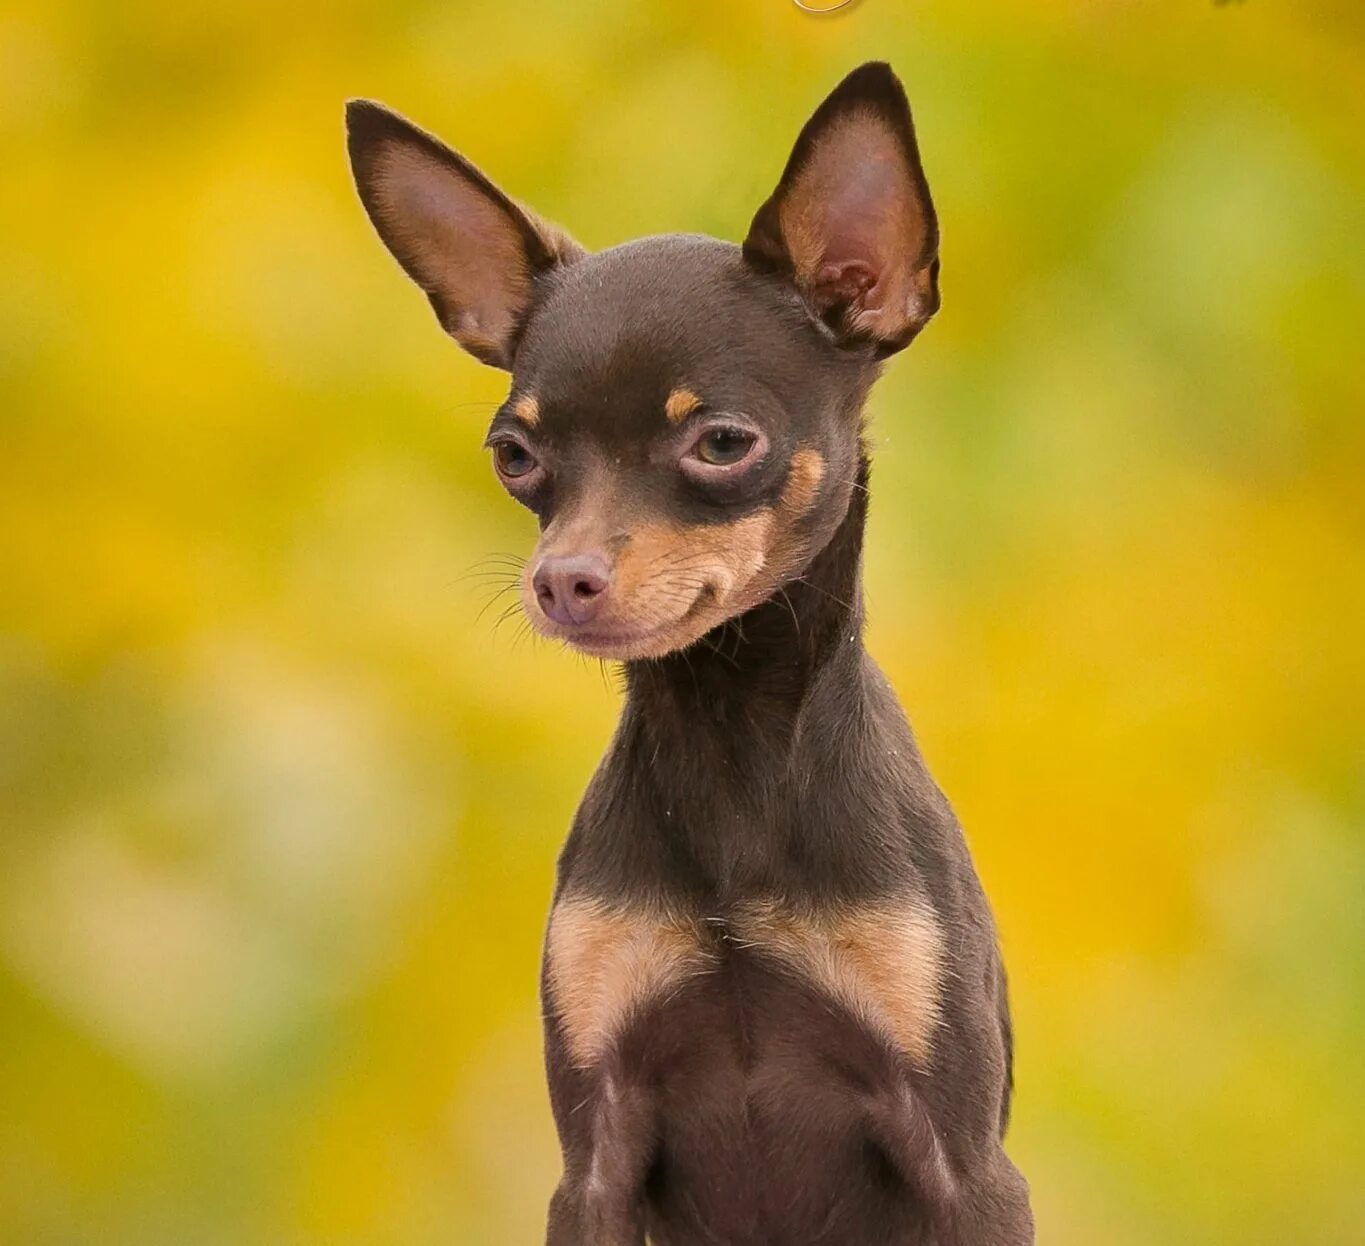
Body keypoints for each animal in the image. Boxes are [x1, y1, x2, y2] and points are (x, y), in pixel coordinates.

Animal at [346, 63, 1026, 1244]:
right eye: (514, 455)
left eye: (721, 442)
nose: (560, 580)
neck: (730, 734)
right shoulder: (594, 1158)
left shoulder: (969, 1170)